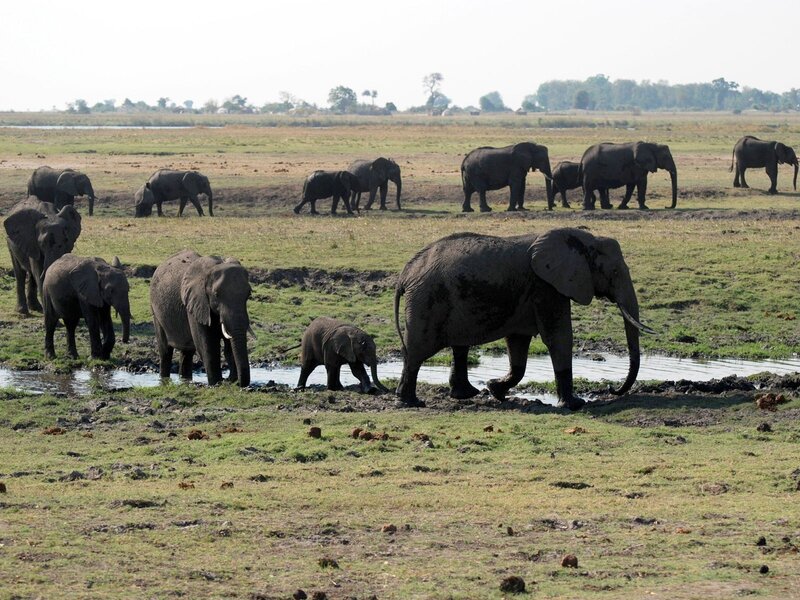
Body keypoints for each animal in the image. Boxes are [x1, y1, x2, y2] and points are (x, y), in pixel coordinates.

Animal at [150, 250, 252, 387]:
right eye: (216, 295)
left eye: (249, 294)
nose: (235, 381)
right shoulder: (196, 303)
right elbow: (206, 345)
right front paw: (216, 384)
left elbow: (229, 344)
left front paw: (230, 380)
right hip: (156, 311)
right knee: (165, 351)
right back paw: (165, 380)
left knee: (187, 353)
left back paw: (185, 380)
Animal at [394, 228, 653, 409]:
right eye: (615, 272)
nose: (612, 388)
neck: (584, 239)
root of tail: (405, 274)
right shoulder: (546, 285)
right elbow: (558, 337)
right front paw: (575, 405)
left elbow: (518, 343)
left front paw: (495, 389)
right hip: (427, 300)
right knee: (417, 352)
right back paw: (411, 403)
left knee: (459, 347)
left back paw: (467, 394)